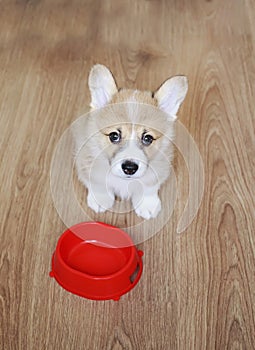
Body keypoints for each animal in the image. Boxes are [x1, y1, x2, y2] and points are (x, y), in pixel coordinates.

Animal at [72, 63, 188, 219]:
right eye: (114, 136)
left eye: (147, 138)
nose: (129, 168)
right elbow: (97, 182)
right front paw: (101, 199)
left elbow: (149, 187)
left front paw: (147, 204)